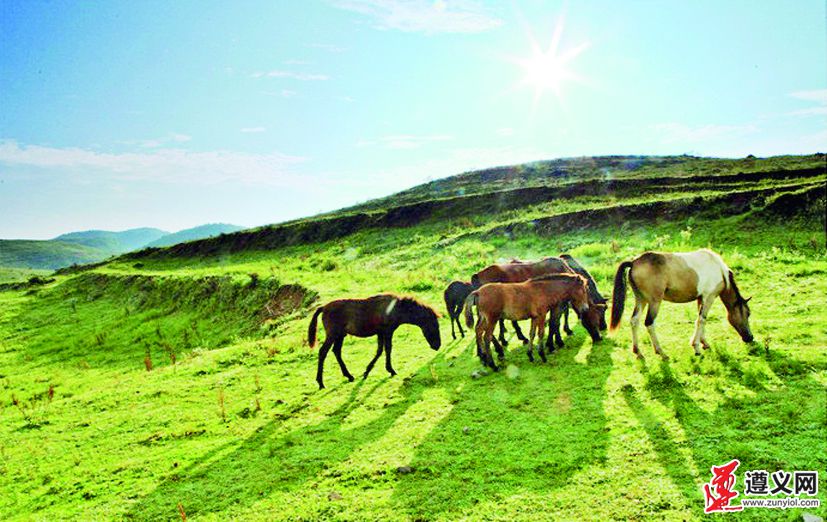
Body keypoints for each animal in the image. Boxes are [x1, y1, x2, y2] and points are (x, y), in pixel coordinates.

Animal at [308, 292, 440, 386]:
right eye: (434, 325)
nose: (437, 346)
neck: (395, 309)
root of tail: (323, 307)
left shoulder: (380, 333)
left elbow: (380, 351)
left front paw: (367, 371)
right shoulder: (387, 331)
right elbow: (387, 349)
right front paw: (391, 370)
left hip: (340, 335)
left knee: (336, 351)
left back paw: (349, 376)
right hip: (333, 335)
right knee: (323, 352)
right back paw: (320, 382)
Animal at [462, 272, 604, 370]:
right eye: (584, 290)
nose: (585, 308)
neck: (543, 290)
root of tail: (478, 292)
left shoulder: (534, 317)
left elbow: (532, 333)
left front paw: (530, 355)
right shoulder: (541, 315)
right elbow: (541, 333)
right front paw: (542, 355)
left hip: (484, 319)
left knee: (478, 331)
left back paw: (484, 359)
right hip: (492, 319)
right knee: (487, 337)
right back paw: (493, 364)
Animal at [608, 248, 756, 358]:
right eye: (747, 313)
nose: (750, 337)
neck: (719, 271)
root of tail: (634, 262)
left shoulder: (700, 298)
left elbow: (699, 320)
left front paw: (704, 343)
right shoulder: (709, 297)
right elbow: (702, 320)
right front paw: (696, 347)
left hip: (641, 300)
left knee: (634, 321)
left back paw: (638, 352)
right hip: (654, 302)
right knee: (649, 323)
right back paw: (661, 352)